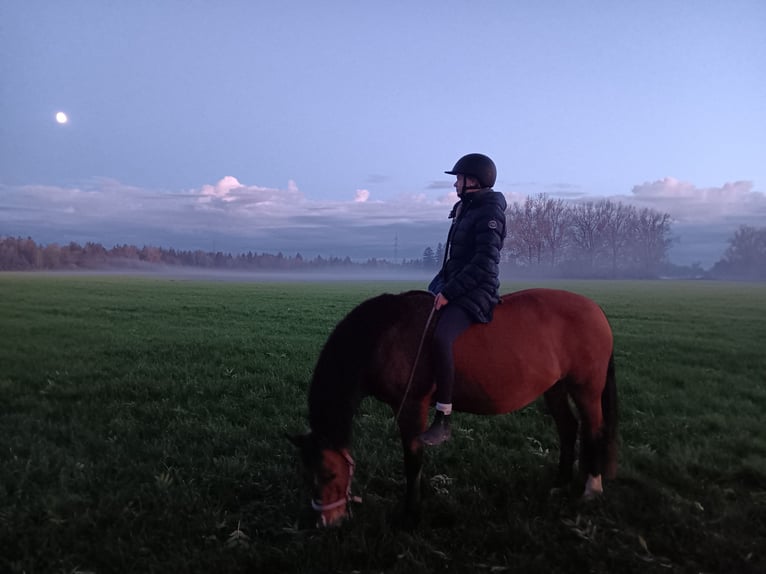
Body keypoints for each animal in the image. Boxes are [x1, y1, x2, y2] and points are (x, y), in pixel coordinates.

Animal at [290, 288, 618, 527]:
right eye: (305, 475)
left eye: (329, 474)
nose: (326, 522)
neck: (386, 335)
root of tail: (595, 309)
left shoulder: (412, 408)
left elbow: (412, 461)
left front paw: (410, 514)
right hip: (555, 387)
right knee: (568, 428)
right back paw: (561, 482)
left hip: (586, 389)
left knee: (594, 431)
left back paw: (592, 488)